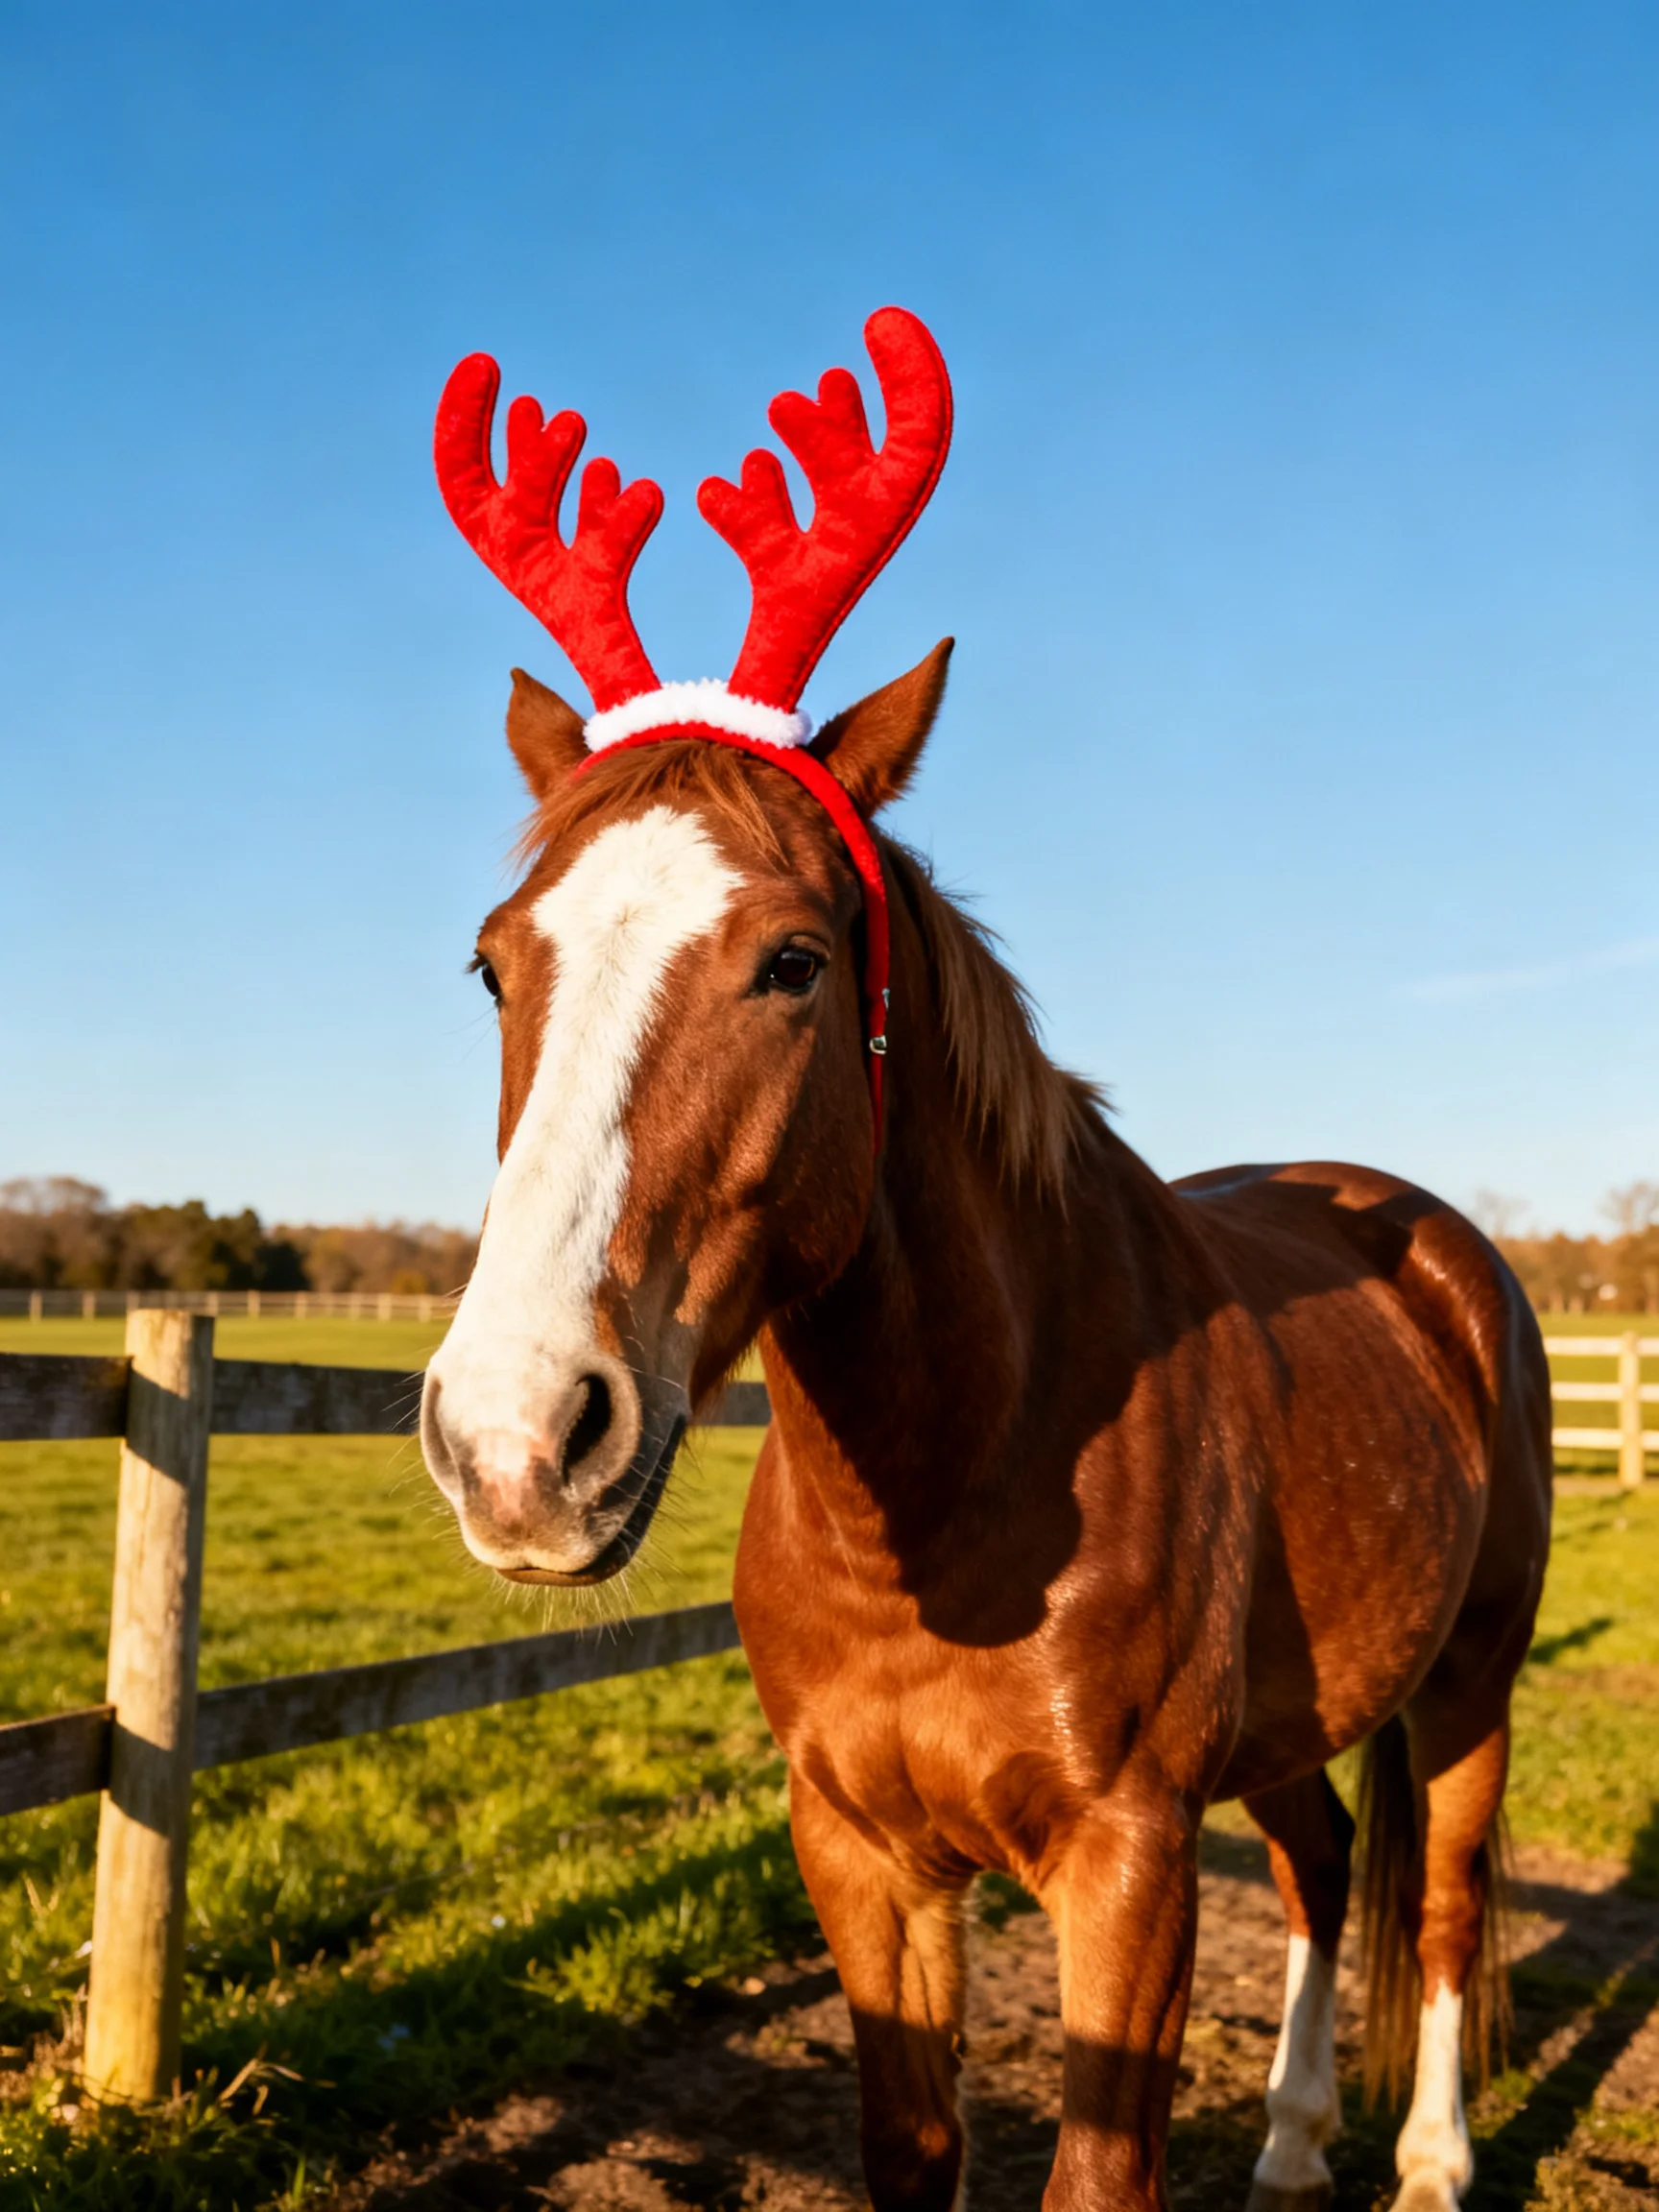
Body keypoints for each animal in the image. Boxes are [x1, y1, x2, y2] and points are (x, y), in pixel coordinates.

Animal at [420, 317, 1552, 2211]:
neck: (950, 1500)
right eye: (496, 967)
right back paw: (1290, 2139)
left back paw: (1428, 2161)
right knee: (1324, 1862)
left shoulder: (1128, 1863)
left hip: (1470, 1674)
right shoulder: (859, 1853)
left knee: (1451, 1901)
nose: (513, 1442)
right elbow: (911, 2147)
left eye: (795, 961)